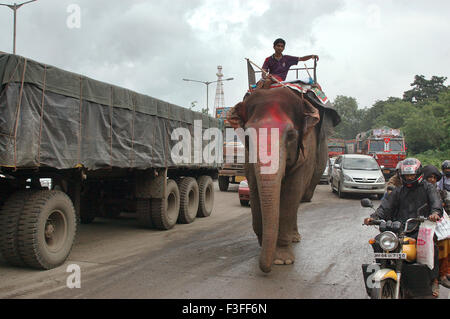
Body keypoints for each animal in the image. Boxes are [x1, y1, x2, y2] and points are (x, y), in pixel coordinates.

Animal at [227, 87, 340, 272]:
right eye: (248, 137)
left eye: (291, 135)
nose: (265, 268)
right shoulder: (248, 158)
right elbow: (254, 188)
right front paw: (264, 245)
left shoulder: (305, 154)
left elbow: (291, 192)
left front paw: (282, 261)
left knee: (297, 200)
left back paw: (294, 238)